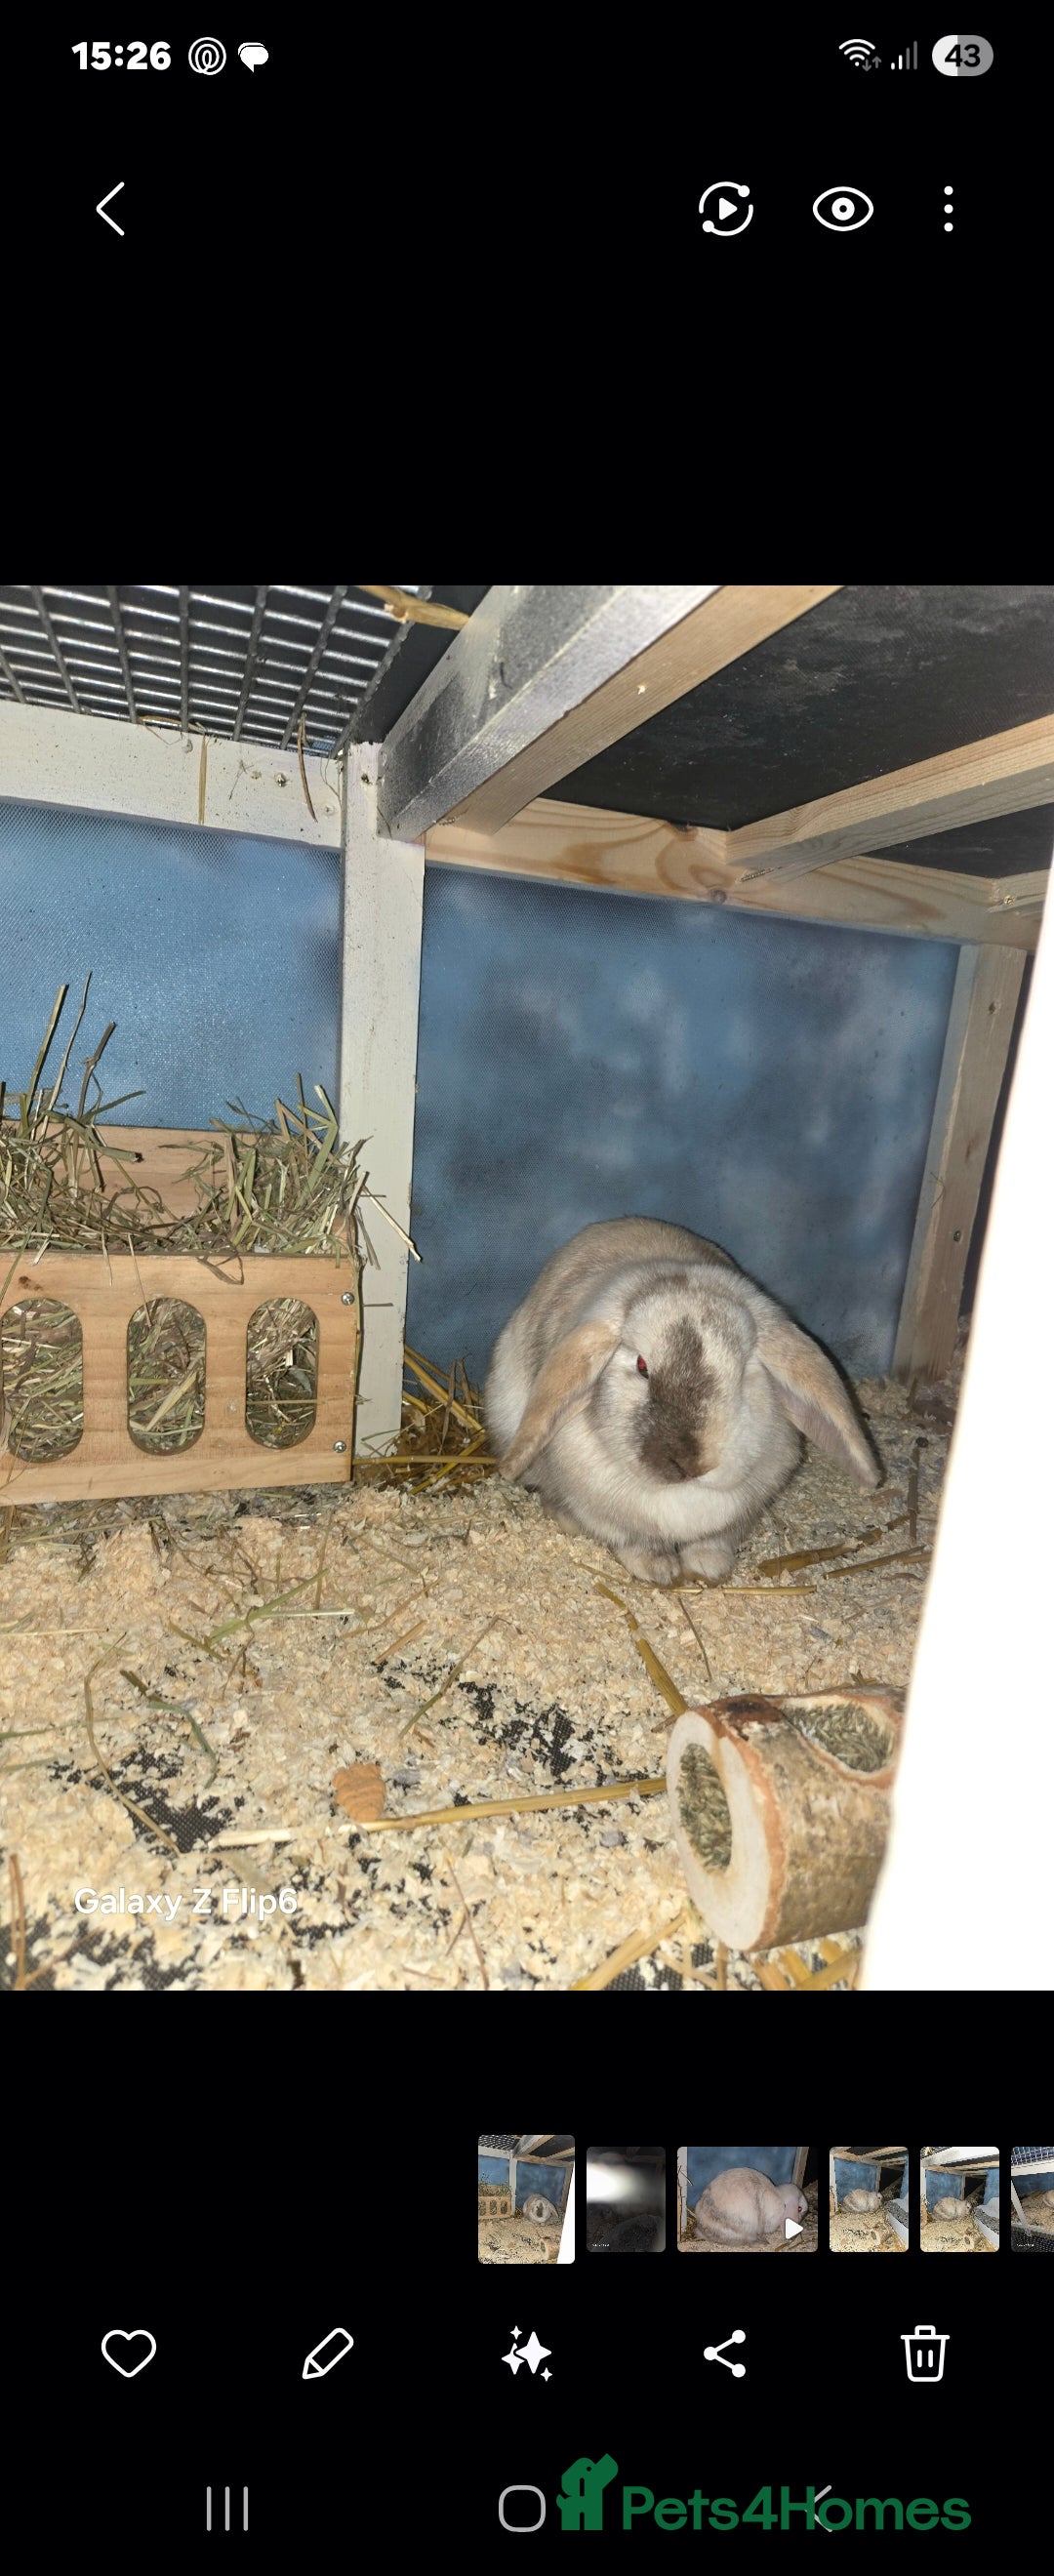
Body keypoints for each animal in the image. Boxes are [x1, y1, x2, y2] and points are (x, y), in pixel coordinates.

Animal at [484, 1219, 880, 1584]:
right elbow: (636, 1543)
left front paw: (708, 1567)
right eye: (642, 1366)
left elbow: (713, 1542)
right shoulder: (610, 1517)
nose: (691, 1463)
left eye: (742, 1372)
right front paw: (658, 1571)